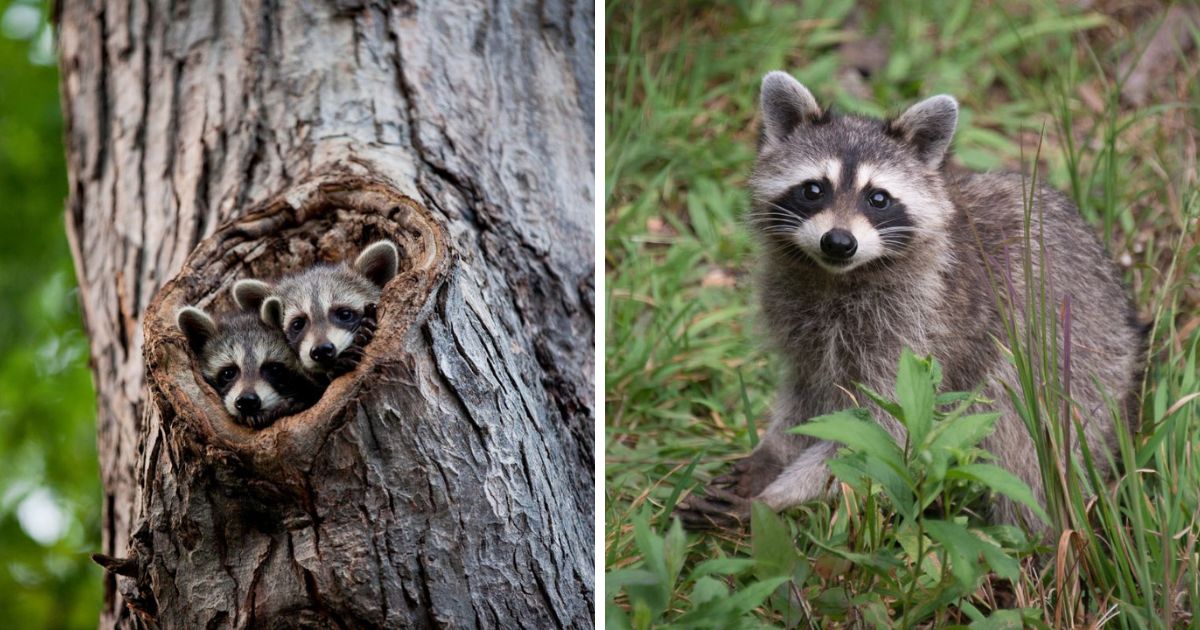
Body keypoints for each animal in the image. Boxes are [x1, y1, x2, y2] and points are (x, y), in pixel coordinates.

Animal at [676, 72, 1144, 530]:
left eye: (878, 198)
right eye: (813, 190)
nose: (838, 242)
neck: (838, 278)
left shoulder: (918, 332)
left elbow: (879, 435)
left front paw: (777, 496)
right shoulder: (799, 319)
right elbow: (808, 397)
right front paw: (773, 453)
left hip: (1078, 374)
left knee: (1025, 453)